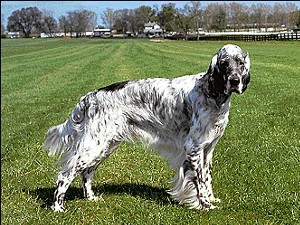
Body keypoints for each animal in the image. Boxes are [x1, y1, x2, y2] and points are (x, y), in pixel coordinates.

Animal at [44, 44, 251, 213]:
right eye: (224, 64)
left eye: (240, 63)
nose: (234, 81)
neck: (211, 92)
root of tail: (89, 97)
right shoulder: (194, 148)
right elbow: (199, 182)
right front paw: (205, 206)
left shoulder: (207, 150)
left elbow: (207, 179)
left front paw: (211, 199)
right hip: (94, 146)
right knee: (65, 175)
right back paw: (58, 207)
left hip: (105, 146)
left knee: (87, 172)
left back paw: (91, 198)